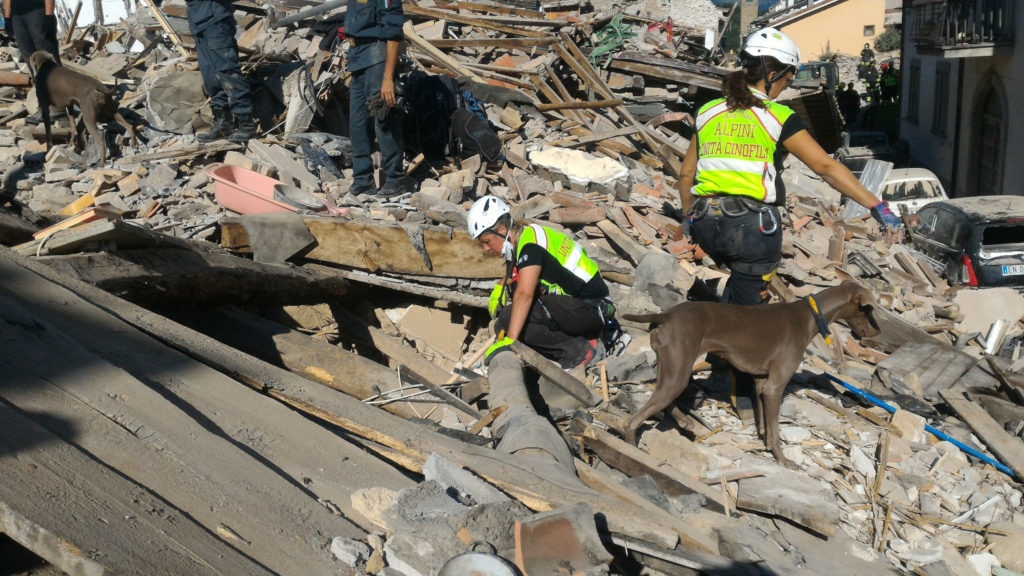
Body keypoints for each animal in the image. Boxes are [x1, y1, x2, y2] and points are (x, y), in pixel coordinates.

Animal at [622, 280, 880, 469]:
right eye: (868, 310)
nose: (876, 333)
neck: (809, 316)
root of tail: (666, 315)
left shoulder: (761, 382)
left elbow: (765, 424)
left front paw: (766, 445)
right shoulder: (774, 387)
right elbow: (775, 430)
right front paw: (783, 459)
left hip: (671, 368)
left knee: (662, 397)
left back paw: (684, 421)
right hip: (678, 371)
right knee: (633, 420)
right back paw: (633, 448)